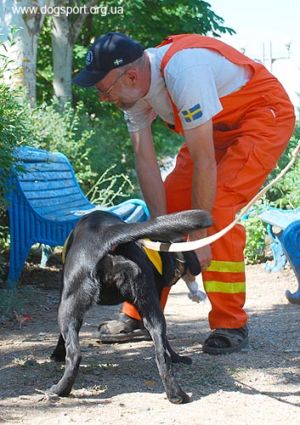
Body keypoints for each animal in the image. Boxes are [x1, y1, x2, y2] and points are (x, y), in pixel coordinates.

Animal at [49, 209, 211, 404]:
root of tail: (106, 232)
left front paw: (57, 354)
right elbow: (167, 344)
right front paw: (178, 358)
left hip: (68, 307)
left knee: (74, 354)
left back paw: (60, 390)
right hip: (151, 308)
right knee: (162, 353)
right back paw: (176, 395)